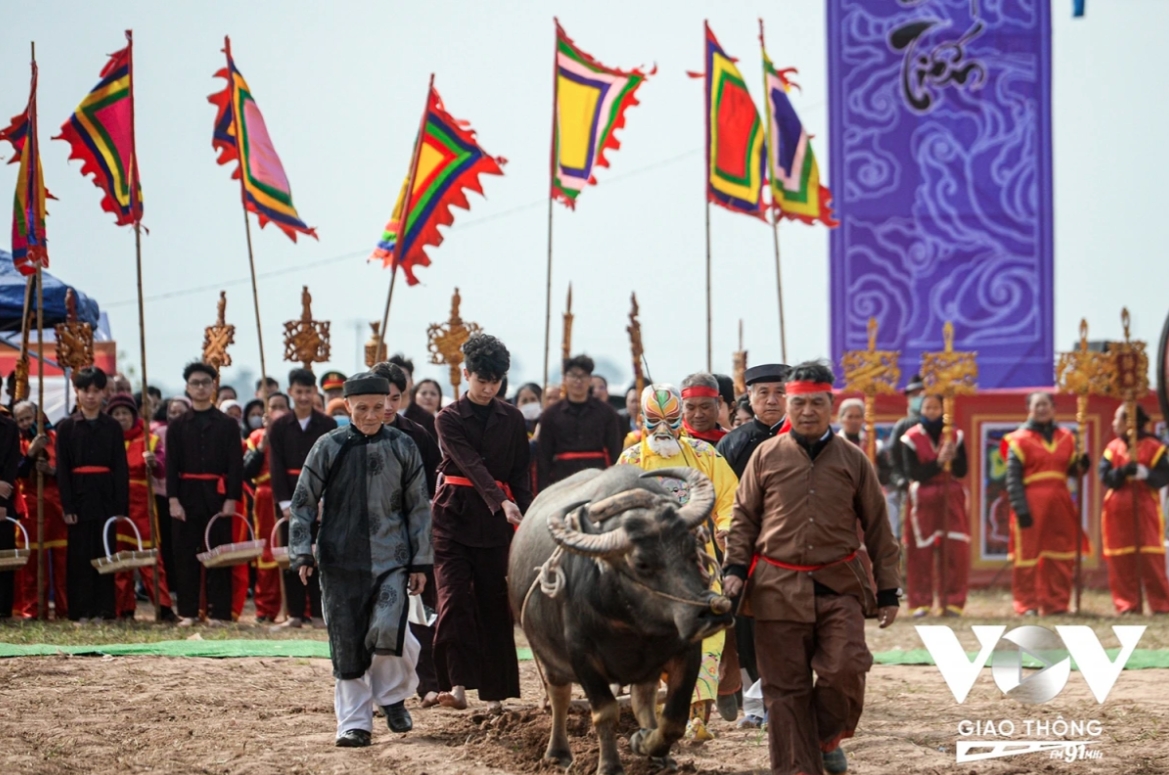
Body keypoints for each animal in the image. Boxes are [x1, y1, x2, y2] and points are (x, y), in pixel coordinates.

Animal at [509, 467, 729, 775]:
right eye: (641, 564)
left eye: (692, 548)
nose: (709, 613)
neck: (636, 625)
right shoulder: (582, 654)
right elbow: (605, 712)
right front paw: (610, 765)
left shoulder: (687, 651)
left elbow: (673, 719)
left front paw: (645, 743)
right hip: (549, 657)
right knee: (559, 696)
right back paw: (557, 753)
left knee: (643, 700)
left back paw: (658, 753)